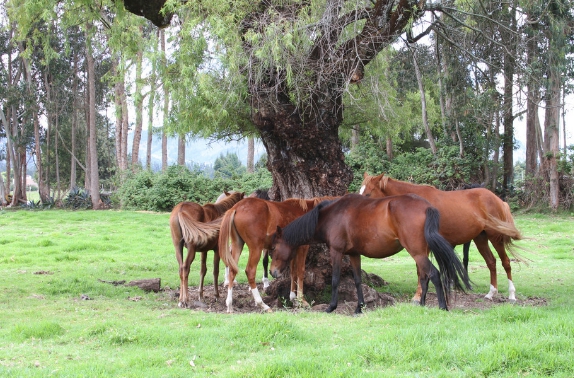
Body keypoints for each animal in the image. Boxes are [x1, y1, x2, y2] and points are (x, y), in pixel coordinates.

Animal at [362, 173, 528, 302]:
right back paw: (491, 293)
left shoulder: (421, 247)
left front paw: (418, 296)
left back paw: (512, 295)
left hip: (495, 237)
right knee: (491, 262)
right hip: (480, 238)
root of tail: (498, 200)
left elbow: (421, 271)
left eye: (368, 193)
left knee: (506, 262)